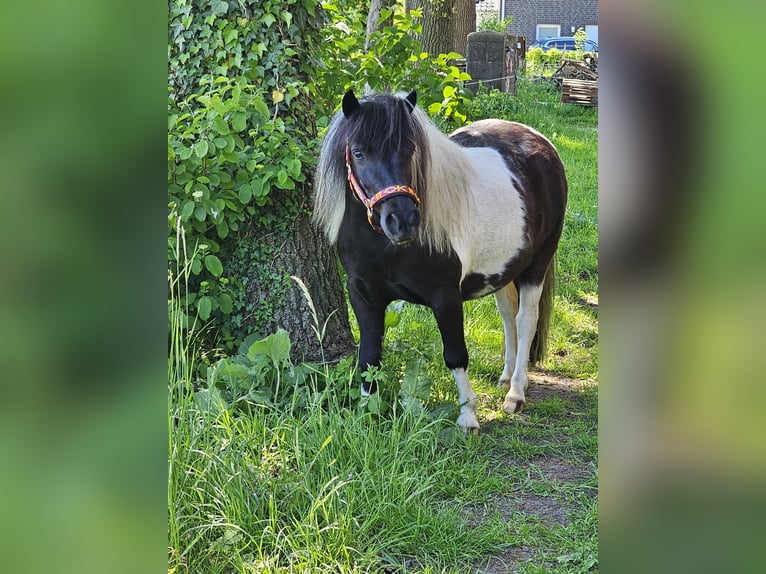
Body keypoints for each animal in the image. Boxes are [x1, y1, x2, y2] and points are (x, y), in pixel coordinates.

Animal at [314, 90, 568, 432]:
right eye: (358, 153)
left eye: (410, 149)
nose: (402, 221)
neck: (387, 248)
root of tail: (541, 143)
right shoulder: (362, 296)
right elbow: (368, 356)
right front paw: (366, 413)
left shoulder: (445, 295)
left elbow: (455, 354)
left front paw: (468, 416)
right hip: (503, 270)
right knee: (507, 316)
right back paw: (505, 377)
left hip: (537, 264)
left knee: (526, 320)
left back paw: (515, 392)